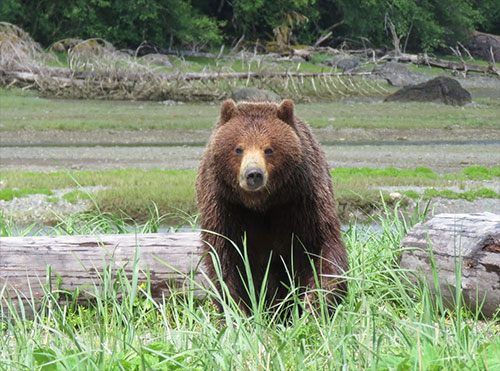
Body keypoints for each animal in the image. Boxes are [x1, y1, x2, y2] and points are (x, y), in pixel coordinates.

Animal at [196, 99, 348, 314]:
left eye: (269, 149)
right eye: (238, 148)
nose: (253, 174)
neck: (261, 205)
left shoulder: (303, 202)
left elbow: (322, 251)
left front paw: (314, 305)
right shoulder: (225, 206)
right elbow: (225, 262)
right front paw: (239, 311)